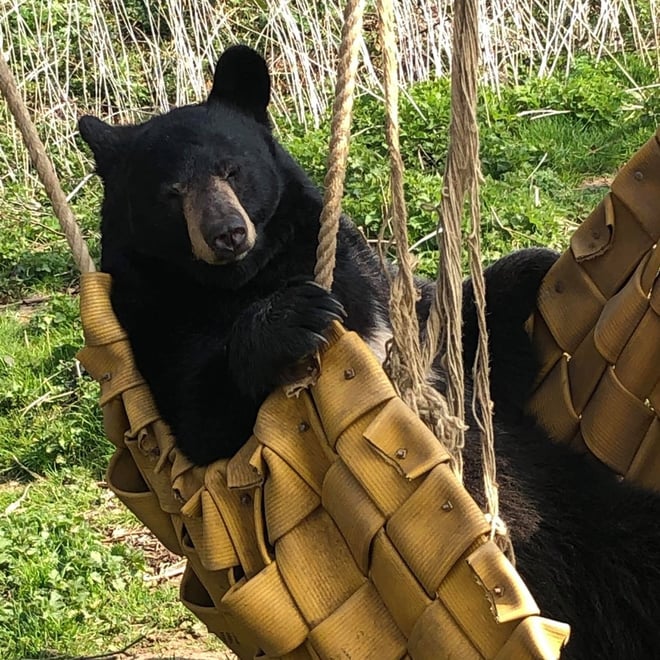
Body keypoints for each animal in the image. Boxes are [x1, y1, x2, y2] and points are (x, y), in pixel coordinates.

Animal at [79, 45, 660, 659]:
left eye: (232, 169)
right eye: (170, 193)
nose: (227, 233)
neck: (242, 280)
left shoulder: (379, 293)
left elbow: (473, 350)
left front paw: (534, 268)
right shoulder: (154, 323)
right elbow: (200, 418)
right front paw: (293, 317)